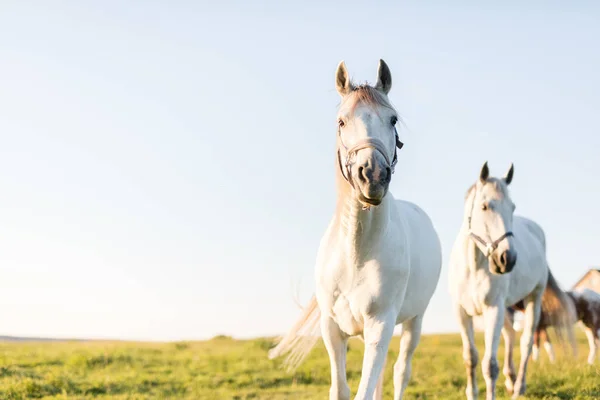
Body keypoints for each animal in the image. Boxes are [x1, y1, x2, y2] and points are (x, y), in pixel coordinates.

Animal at [270, 60, 442, 400]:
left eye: (392, 119)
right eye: (341, 121)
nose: (372, 175)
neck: (357, 254)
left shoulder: (380, 325)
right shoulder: (333, 329)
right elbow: (342, 389)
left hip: (414, 320)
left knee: (401, 371)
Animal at [450, 162, 572, 400]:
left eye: (512, 207)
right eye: (485, 206)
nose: (508, 259)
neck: (473, 266)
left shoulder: (493, 309)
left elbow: (490, 365)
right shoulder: (462, 312)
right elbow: (470, 358)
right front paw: (472, 393)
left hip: (533, 299)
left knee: (525, 342)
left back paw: (518, 388)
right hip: (508, 308)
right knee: (510, 336)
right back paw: (511, 379)